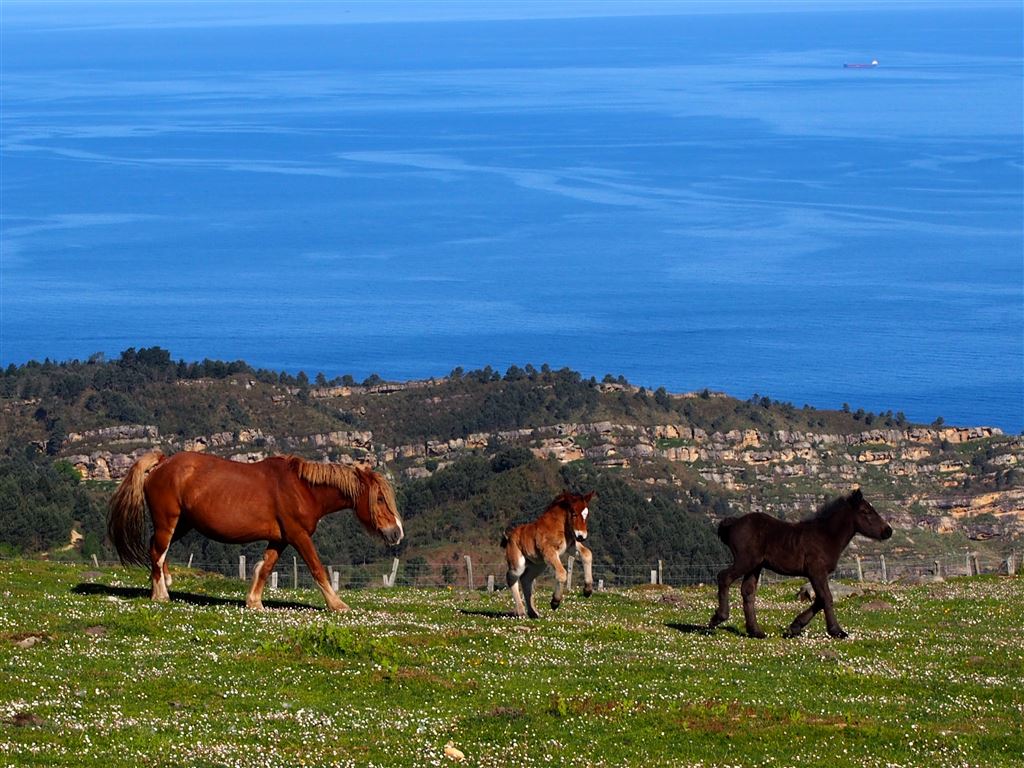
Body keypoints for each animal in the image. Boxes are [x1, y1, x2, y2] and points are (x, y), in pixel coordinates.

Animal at [108, 450, 401, 614]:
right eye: (379, 499)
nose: (397, 533)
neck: (302, 489)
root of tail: (161, 464)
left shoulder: (280, 540)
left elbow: (264, 568)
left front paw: (254, 602)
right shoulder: (298, 536)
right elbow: (317, 569)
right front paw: (337, 605)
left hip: (182, 524)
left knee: (155, 549)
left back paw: (160, 585)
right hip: (168, 521)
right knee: (157, 551)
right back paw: (161, 595)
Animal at [708, 489, 892, 638]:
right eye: (865, 511)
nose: (888, 531)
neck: (826, 536)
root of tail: (733, 523)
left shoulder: (817, 573)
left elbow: (820, 599)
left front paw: (794, 627)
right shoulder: (816, 570)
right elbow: (826, 597)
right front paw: (836, 631)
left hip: (755, 566)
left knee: (747, 591)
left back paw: (755, 632)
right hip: (745, 560)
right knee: (724, 577)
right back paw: (718, 618)